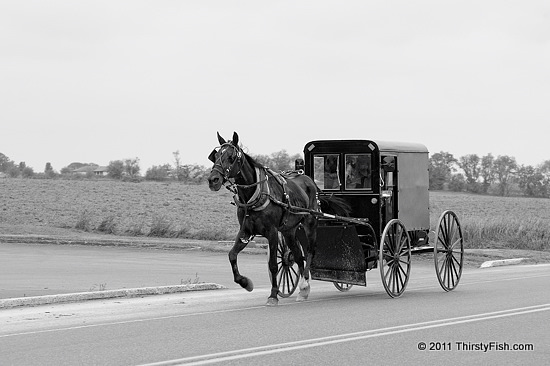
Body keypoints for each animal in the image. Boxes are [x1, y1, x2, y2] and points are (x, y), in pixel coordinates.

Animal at [207, 132, 350, 306]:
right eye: (215, 156)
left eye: (231, 156)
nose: (213, 180)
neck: (256, 194)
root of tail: (310, 181)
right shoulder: (246, 231)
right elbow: (232, 255)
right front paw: (245, 283)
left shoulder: (272, 232)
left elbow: (273, 265)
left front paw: (273, 295)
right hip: (289, 231)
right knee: (298, 255)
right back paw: (303, 289)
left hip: (310, 223)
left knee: (310, 251)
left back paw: (304, 284)